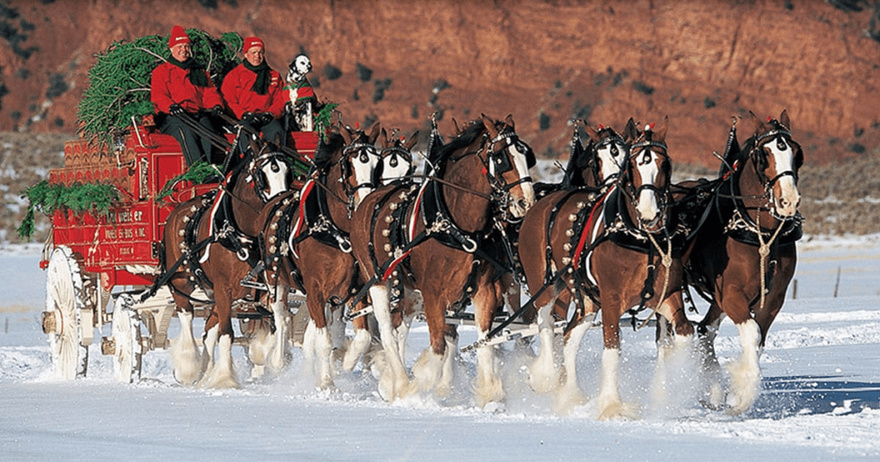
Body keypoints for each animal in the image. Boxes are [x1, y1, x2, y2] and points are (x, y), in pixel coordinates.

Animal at [161, 134, 292, 386]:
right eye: (262, 176)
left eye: (289, 172)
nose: (281, 207)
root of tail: (176, 211)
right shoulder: (224, 288)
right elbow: (227, 335)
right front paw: (225, 379)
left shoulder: (271, 285)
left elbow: (279, 320)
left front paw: (272, 357)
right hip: (183, 282)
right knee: (187, 316)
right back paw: (189, 366)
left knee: (208, 332)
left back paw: (205, 372)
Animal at [262, 122, 384, 386]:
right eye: (349, 165)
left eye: (378, 165)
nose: (365, 203)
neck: (335, 231)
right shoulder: (315, 292)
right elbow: (324, 340)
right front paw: (327, 383)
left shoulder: (356, 290)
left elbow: (361, 338)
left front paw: (344, 364)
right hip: (276, 279)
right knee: (282, 317)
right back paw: (278, 361)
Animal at [350, 114, 536, 404]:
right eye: (501, 157)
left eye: (527, 155)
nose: (525, 202)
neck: (458, 227)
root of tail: (370, 200)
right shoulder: (433, 295)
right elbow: (438, 347)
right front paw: (422, 384)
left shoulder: (484, 291)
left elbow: (484, 342)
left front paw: (490, 393)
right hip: (378, 280)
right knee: (388, 332)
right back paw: (399, 383)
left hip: (409, 291)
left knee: (400, 330)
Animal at [680, 112, 804, 416]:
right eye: (764, 154)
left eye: (797, 153)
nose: (788, 201)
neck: (760, 233)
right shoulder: (731, 294)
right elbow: (751, 333)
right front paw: (742, 394)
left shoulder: (773, 297)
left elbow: (758, 341)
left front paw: (737, 393)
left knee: (705, 330)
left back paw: (711, 391)